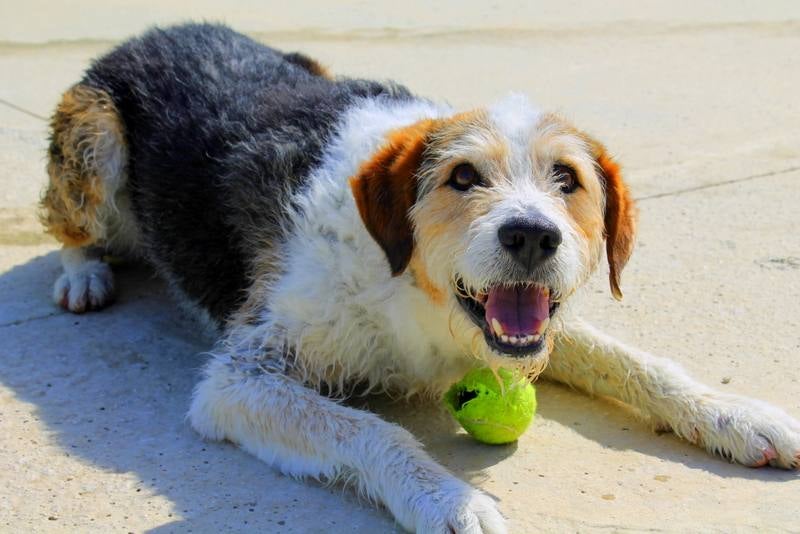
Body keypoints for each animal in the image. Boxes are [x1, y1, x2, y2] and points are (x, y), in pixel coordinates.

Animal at [40, 23, 796, 532]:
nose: (532, 235)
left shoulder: (526, 328)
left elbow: (634, 362)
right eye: (462, 177)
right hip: (95, 137)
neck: (408, 283)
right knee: (66, 220)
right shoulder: (239, 377)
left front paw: (734, 414)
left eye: (567, 178)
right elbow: (368, 430)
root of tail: (153, 30)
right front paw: (447, 498)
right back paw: (84, 275)